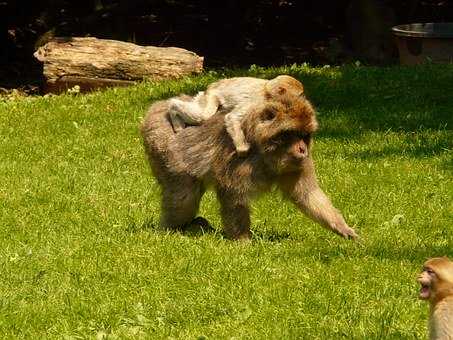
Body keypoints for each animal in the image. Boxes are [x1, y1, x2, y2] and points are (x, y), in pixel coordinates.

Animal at [140, 89, 356, 240]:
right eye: (291, 134)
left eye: (304, 135)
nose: (302, 149)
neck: (268, 152)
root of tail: (155, 109)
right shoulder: (241, 158)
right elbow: (233, 193)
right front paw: (242, 241)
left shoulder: (299, 163)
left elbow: (307, 195)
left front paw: (341, 227)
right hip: (164, 147)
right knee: (184, 196)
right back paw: (171, 230)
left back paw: (196, 225)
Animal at [168, 75, 306, 155]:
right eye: (299, 94)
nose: (304, 98)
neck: (267, 91)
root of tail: (214, 84)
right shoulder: (257, 101)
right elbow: (232, 118)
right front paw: (242, 148)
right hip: (211, 95)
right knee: (204, 115)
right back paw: (173, 108)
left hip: (202, 96)